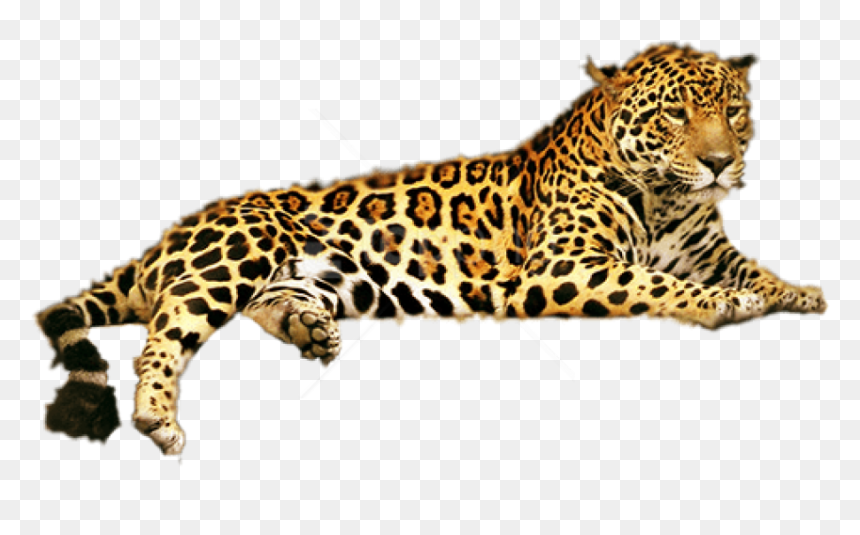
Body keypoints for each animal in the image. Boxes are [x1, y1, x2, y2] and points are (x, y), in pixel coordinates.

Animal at [38, 44, 826, 455]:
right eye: (674, 115)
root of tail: (171, 233)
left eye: (734, 111)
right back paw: (157, 417)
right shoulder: (561, 270)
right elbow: (657, 285)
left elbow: (752, 267)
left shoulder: (704, 245)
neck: (666, 198)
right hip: (234, 255)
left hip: (301, 275)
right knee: (162, 332)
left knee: (264, 304)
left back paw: (310, 328)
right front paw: (724, 303)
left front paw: (800, 291)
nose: (722, 164)